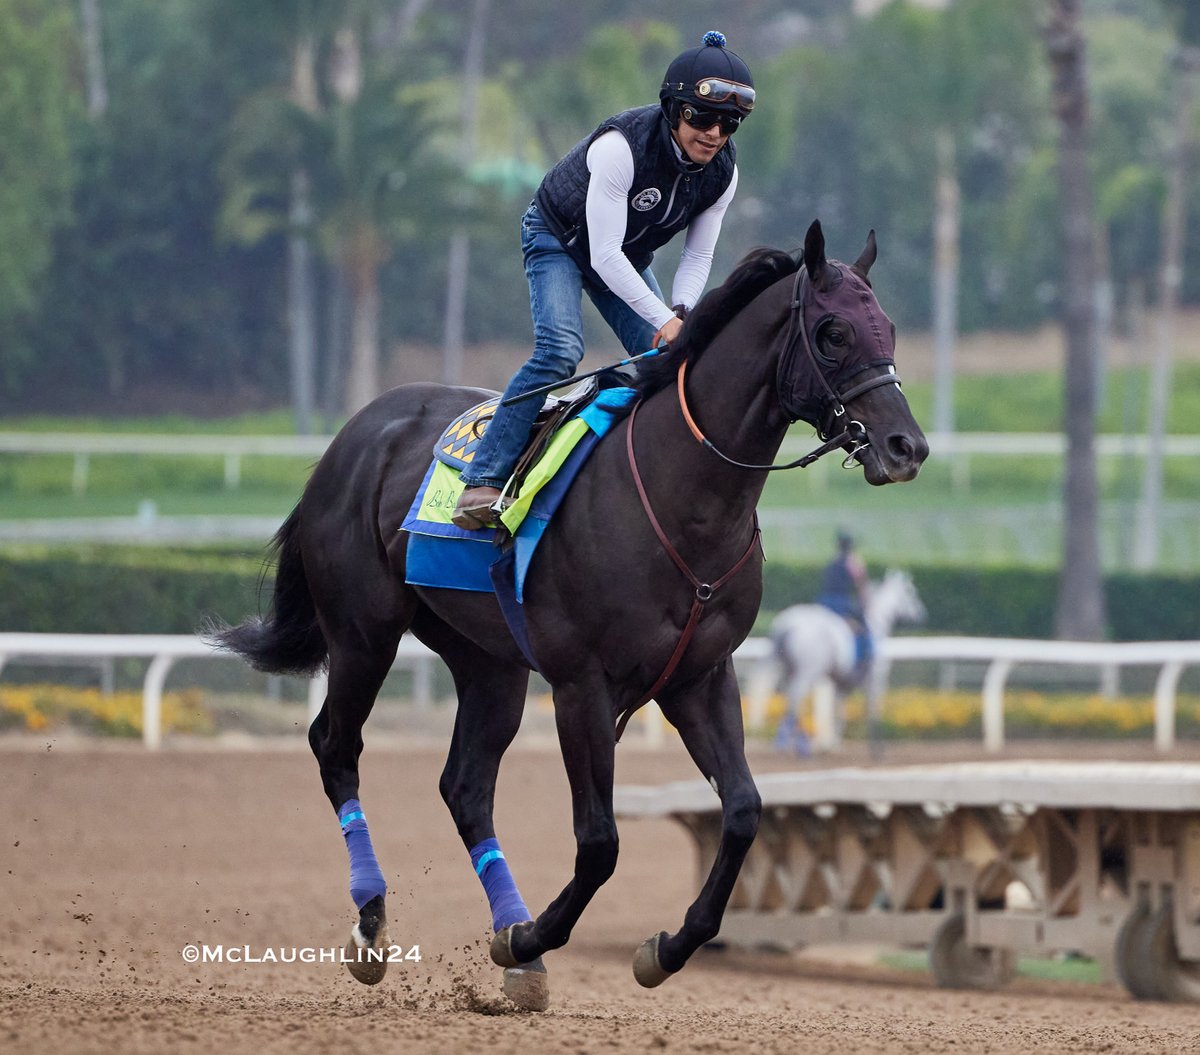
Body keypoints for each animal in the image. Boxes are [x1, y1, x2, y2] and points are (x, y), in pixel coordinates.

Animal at [213, 218, 926, 1012]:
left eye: (889, 327)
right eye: (833, 332)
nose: (908, 447)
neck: (684, 502)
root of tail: (354, 431)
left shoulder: (700, 677)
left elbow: (743, 811)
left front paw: (661, 947)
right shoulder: (582, 685)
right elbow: (600, 841)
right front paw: (532, 940)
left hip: (487, 660)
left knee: (465, 786)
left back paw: (511, 933)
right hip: (363, 632)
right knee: (336, 747)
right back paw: (374, 924)